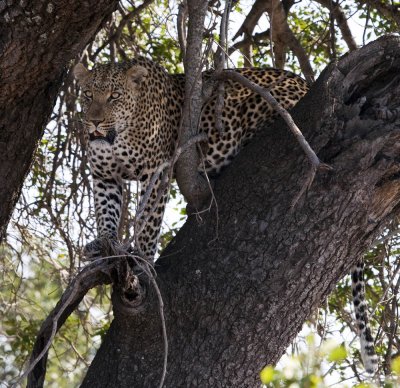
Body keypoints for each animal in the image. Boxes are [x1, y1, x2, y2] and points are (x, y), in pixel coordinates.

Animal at [73, 56, 376, 372]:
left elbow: (148, 220)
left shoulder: (156, 172)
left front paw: (142, 260)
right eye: (88, 96)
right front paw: (105, 245)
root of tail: (305, 82)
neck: (119, 135)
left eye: (114, 97)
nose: (94, 122)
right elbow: (106, 212)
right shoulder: (104, 175)